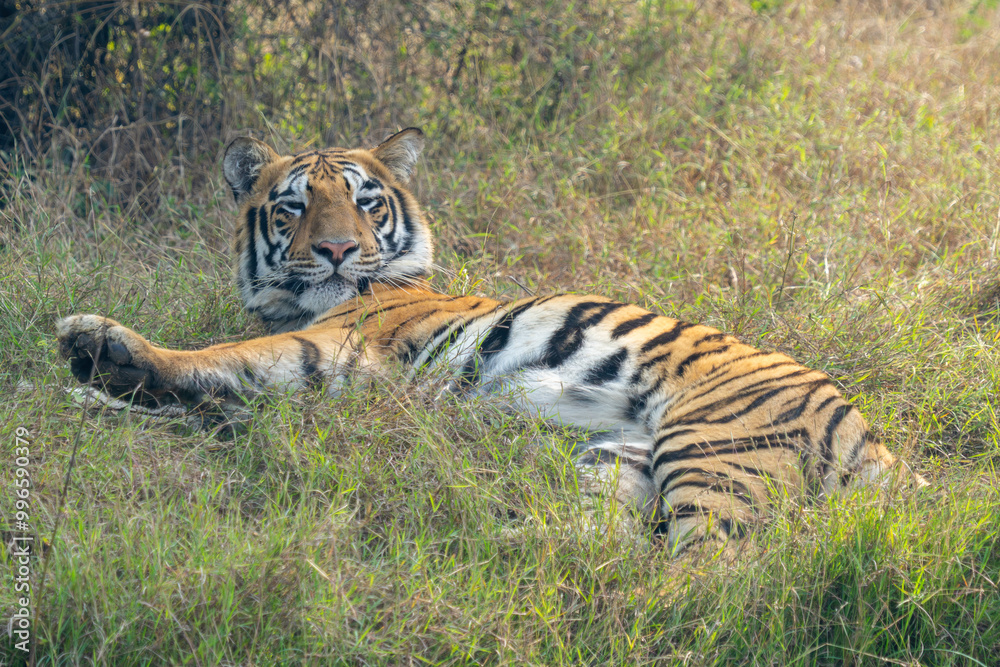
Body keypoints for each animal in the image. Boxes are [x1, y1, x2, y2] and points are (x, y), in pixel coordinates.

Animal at [56, 128, 922, 553]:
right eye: (293, 207)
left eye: (366, 201)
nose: (336, 251)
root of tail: (870, 433)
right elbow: (213, 394)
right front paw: (94, 396)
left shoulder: (343, 355)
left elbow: (214, 361)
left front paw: (100, 345)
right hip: (616, 458)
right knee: (609, 544)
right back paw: (495, 539)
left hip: (713, 448)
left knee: (709, 574)